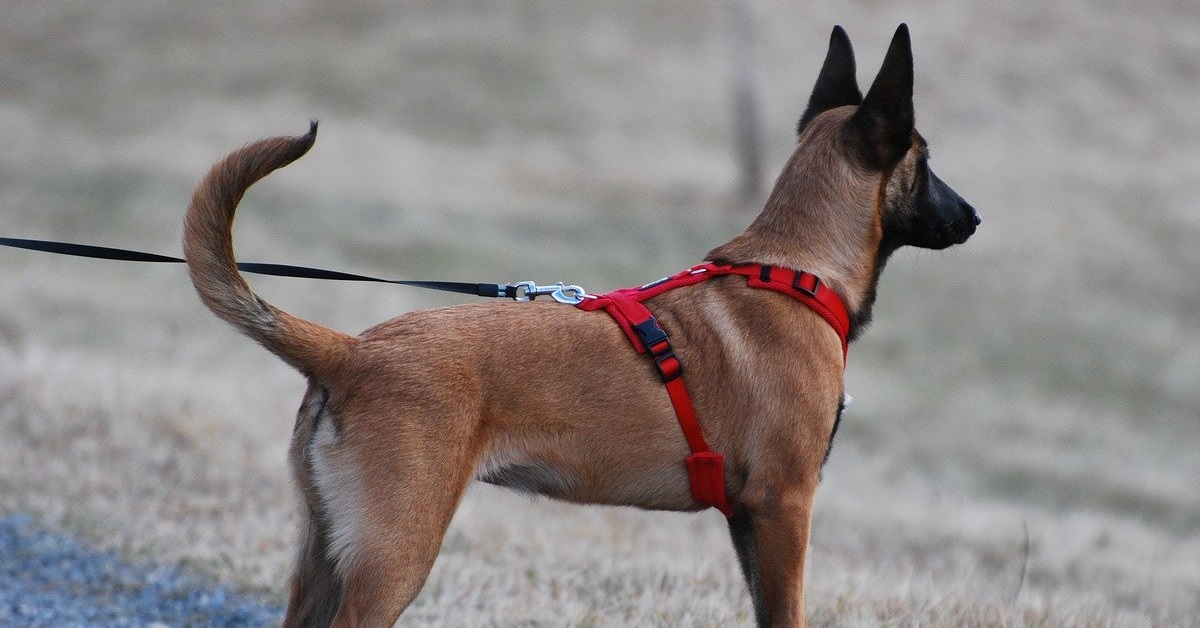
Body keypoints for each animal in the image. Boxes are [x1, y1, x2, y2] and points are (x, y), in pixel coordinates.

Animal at [184, 23, 974, 628]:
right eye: (928, 160)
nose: (973, 217)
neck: (792, 269)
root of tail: (350, 352)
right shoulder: (785, 507)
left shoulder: (751, 520)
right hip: (393, 555)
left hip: (323, 555)